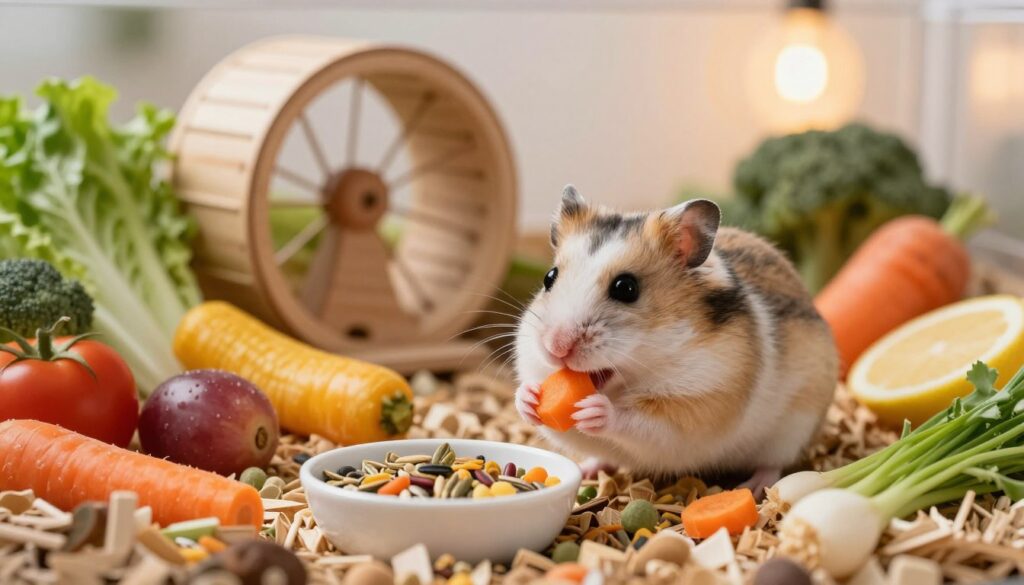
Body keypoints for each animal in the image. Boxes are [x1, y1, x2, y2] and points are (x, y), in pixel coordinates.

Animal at [514, 185, 838, 492]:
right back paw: (586, 471)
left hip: (793, 428)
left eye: (626, 288)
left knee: (773, 464)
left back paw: (755, 486)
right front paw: (528, 397)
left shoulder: (698, 405)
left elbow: (644, 422)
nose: (556, 347)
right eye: (549, 277)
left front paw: (597, 410)